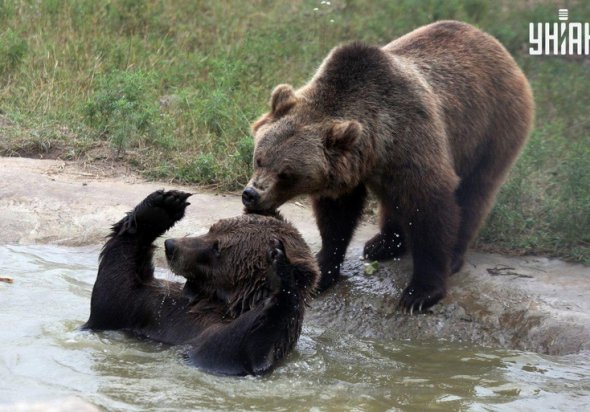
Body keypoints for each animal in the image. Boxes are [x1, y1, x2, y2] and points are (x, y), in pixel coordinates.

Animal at [83, 190, 320, 376]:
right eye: (212, 229)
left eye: (217, 248)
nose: (171, 246)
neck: (220, 304)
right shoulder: (158, 308)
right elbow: (117, 292)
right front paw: (162, 206)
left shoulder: (217, 346)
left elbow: (239, 347)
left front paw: (282, 267)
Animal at [244, 20, 536, 312]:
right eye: (259, 158)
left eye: (286, 174)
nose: (251, 194)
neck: (379, 141)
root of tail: (492, 41)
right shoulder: (352, 169)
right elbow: (336, 216)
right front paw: (323, 269)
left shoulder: (414, 139)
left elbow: (431, 208)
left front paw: (420, 292)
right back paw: (383, 243)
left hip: (493, 128)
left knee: (474, 193)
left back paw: (452, 254)